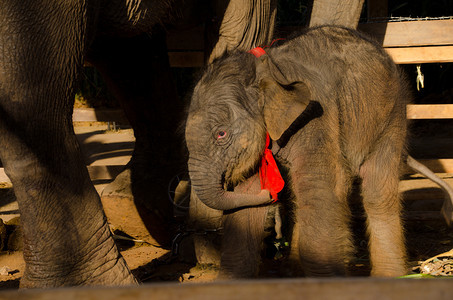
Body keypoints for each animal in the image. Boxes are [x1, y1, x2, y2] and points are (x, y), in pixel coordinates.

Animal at [185, 25, 408, 276]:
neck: (266, 71)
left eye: (220, 134)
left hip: (390, 115)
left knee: (376, 190)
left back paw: (390, 276)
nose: (270, 194)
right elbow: (247, 197)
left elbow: (323, 189)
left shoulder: (317, 117)